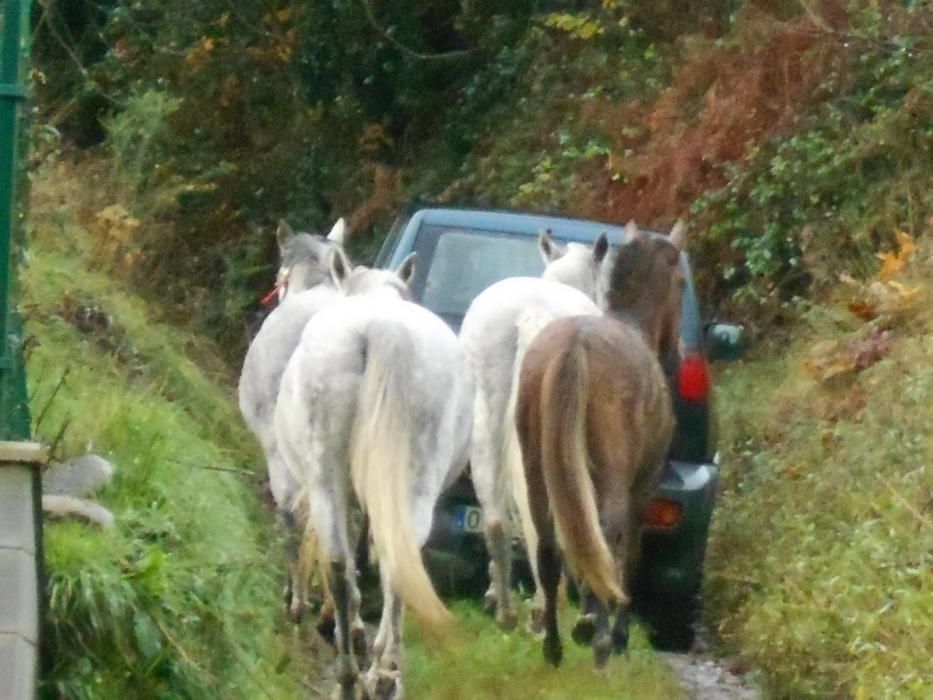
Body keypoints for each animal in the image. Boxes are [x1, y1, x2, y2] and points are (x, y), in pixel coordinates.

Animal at [274, 258, 470, 700]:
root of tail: (385, 328)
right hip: (412, 485)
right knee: (392, 558)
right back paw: (379, 672)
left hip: (328, 478)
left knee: (340, 562)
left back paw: (355, 674)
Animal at [516, 223, 684, 668]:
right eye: (681, 282)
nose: (677, 351)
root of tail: (576, 343)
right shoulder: (643, 486)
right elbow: (630, 551)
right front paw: (616, 630)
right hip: (613, 475)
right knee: (606, 533)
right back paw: (601, 637)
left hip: (536, 471)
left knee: (549, 547)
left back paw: (554, 646)